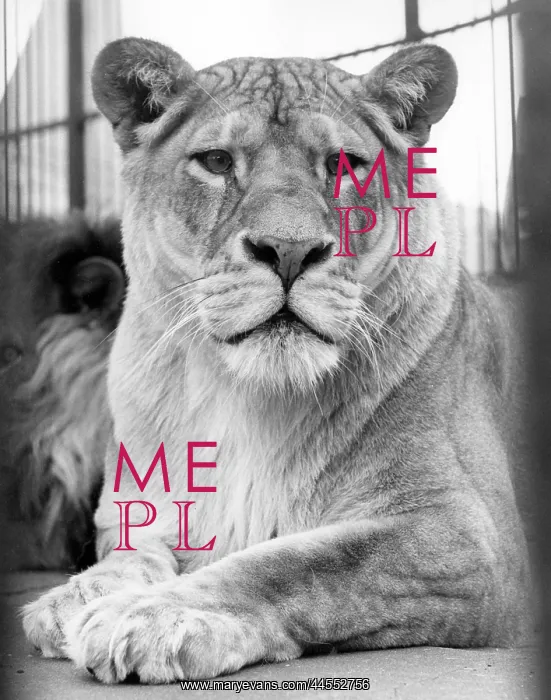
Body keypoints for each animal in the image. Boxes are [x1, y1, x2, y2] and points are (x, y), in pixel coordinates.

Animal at [22, 38, 533, 683]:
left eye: (343, 166)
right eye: (216, 162)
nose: (289, 251)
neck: (246, 395)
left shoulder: (468, 537)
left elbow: (296, 565)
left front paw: (153, 615)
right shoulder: (138, 511)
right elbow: (129, 556)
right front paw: (76, 596)